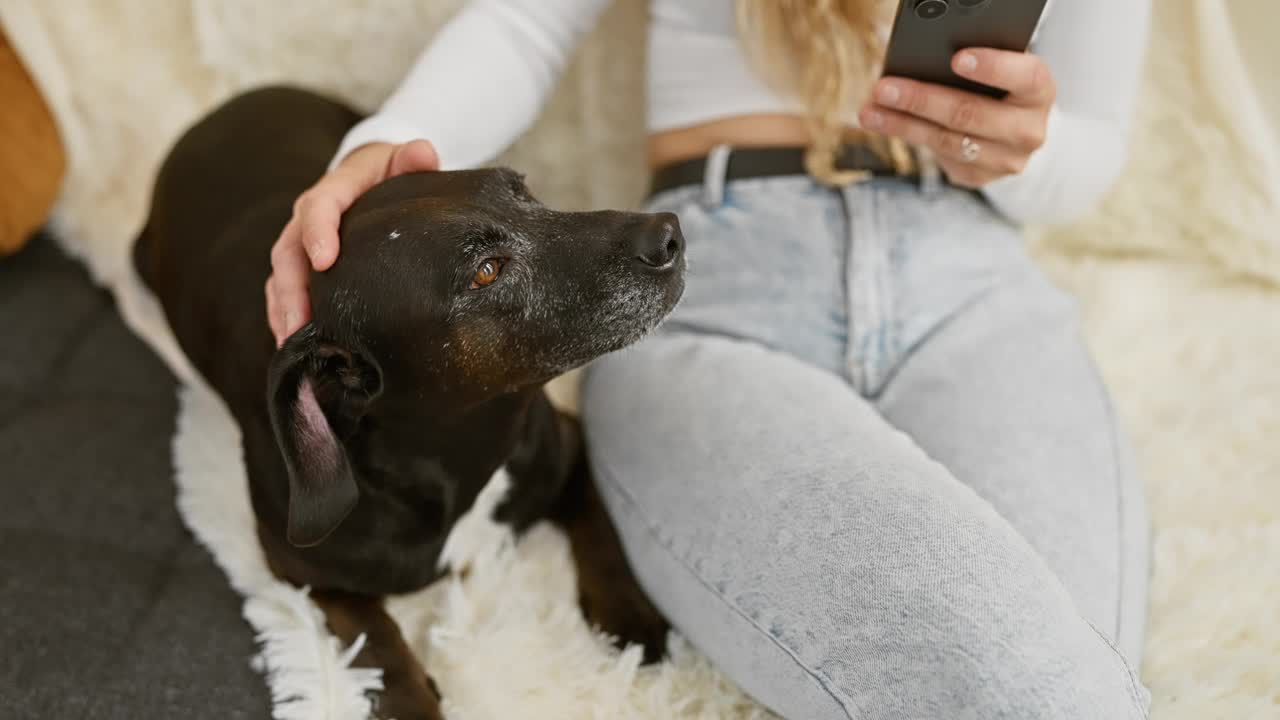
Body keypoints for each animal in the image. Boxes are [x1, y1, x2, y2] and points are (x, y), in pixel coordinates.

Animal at [132, 85, 680, 717]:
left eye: (525, 193)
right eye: (486, 272)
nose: (669, 233)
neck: (456, 458)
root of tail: (226, 108)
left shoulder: (565, 445)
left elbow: (602, 528)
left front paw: (629, 616)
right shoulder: (300, 568)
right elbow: (372, 635)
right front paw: (410, 699)